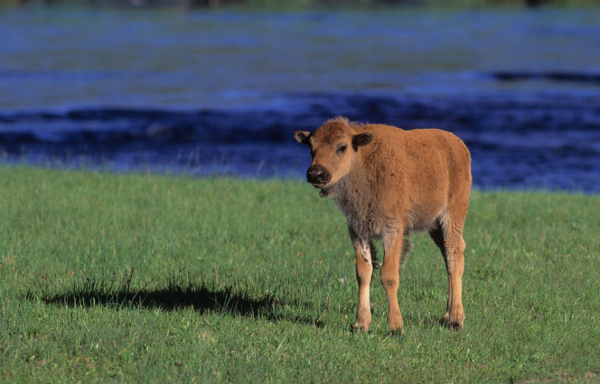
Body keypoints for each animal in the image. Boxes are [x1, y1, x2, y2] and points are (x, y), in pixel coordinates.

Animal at [294, 117, 468, 332]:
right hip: (435, 225)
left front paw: (395, 326)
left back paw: (456, 319)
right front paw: (360, 324)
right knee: (446, 256)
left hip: (453, 215)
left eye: (342, 147)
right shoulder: (357, 230)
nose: (316, 174)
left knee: (454, 255)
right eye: (311, 147)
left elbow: (389, 275)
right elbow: (363, 273)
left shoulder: (392, 230)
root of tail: (458, 144)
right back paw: (446, 315)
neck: (363, 161)